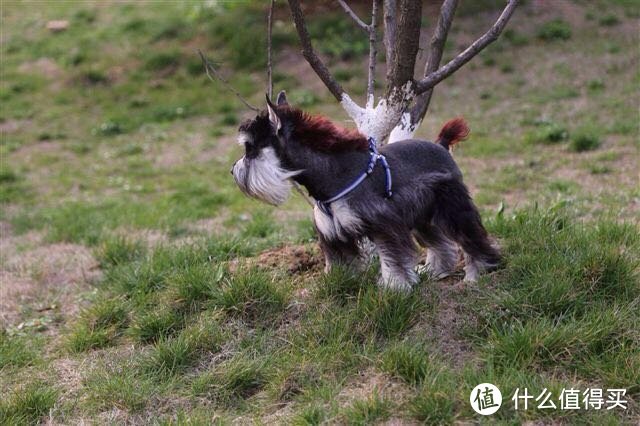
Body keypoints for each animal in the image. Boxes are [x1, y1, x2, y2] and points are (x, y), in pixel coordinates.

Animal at [231, 90, 500, 290]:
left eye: (250, 148)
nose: (233, 172)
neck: (330, 174)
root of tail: (441, 145)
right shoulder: (333, 235)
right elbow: (339, 263)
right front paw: (336, 284)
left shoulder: (384, 226)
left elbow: (392, 259)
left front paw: (395, 288)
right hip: (421, 218)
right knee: (440, 243)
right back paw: (437, 270)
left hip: (452, 209)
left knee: (470, 238)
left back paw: (478, 271)